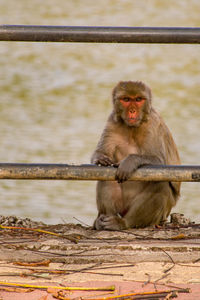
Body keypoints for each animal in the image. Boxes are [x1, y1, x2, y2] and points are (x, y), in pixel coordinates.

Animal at [91, 80, 180, 230]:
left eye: (138, 99)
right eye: (126, 99)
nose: (132, 110)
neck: (132, 128)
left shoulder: (152, 124)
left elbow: (159, 161)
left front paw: (129, 162)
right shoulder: (112, 121)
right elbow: (102, 155)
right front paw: (100, 159)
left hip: (162, 213)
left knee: (160, 182)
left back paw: (124, 223)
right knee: (105, 175)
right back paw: (103, 219)